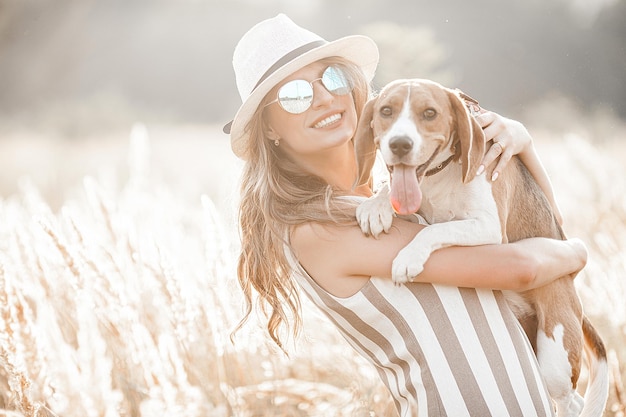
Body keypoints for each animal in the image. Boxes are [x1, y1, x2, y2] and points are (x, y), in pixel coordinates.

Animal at [354, 79, 608, 416]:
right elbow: (394, 193)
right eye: (386, 111)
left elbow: (435, 229)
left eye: (429, 113)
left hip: (554, 355)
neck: (438, 175)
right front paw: (376, 205)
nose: (399, 145)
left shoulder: (489, 228)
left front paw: (409, 255)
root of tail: (575, 301)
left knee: (569, 401)